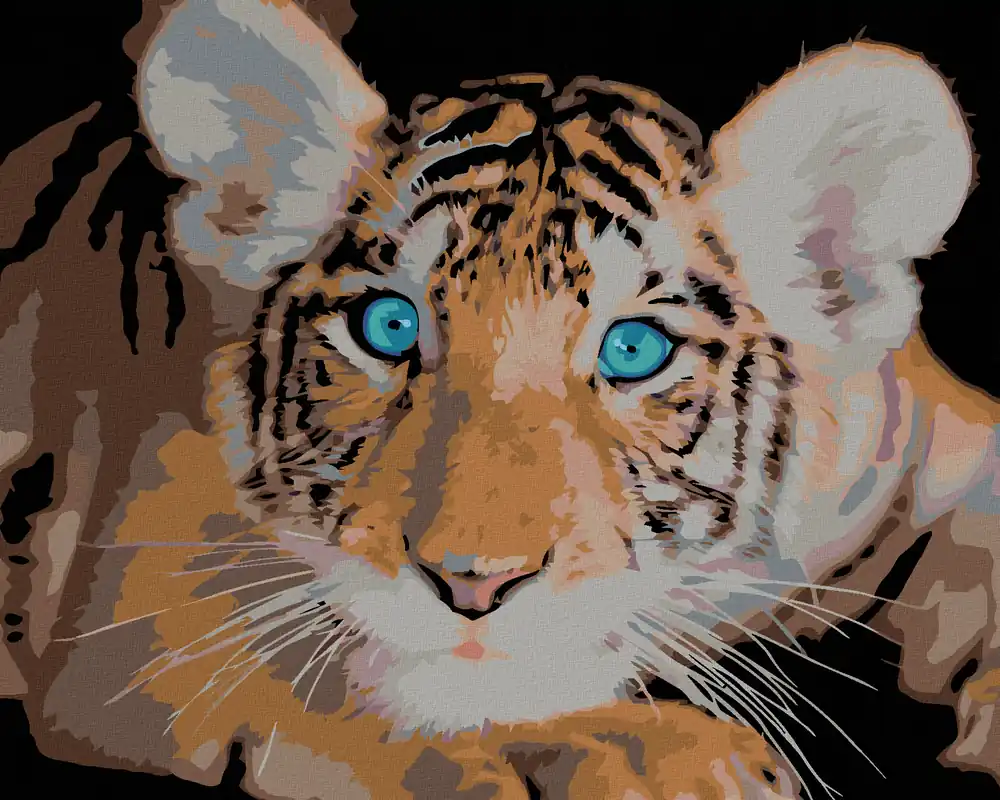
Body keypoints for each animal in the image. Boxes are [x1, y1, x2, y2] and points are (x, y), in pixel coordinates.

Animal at [3, 0, 997, 797]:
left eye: (633, 350)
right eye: (388, 326)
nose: (472, 584)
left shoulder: (928, 449)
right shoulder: (135, 607)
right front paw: (654, 755)